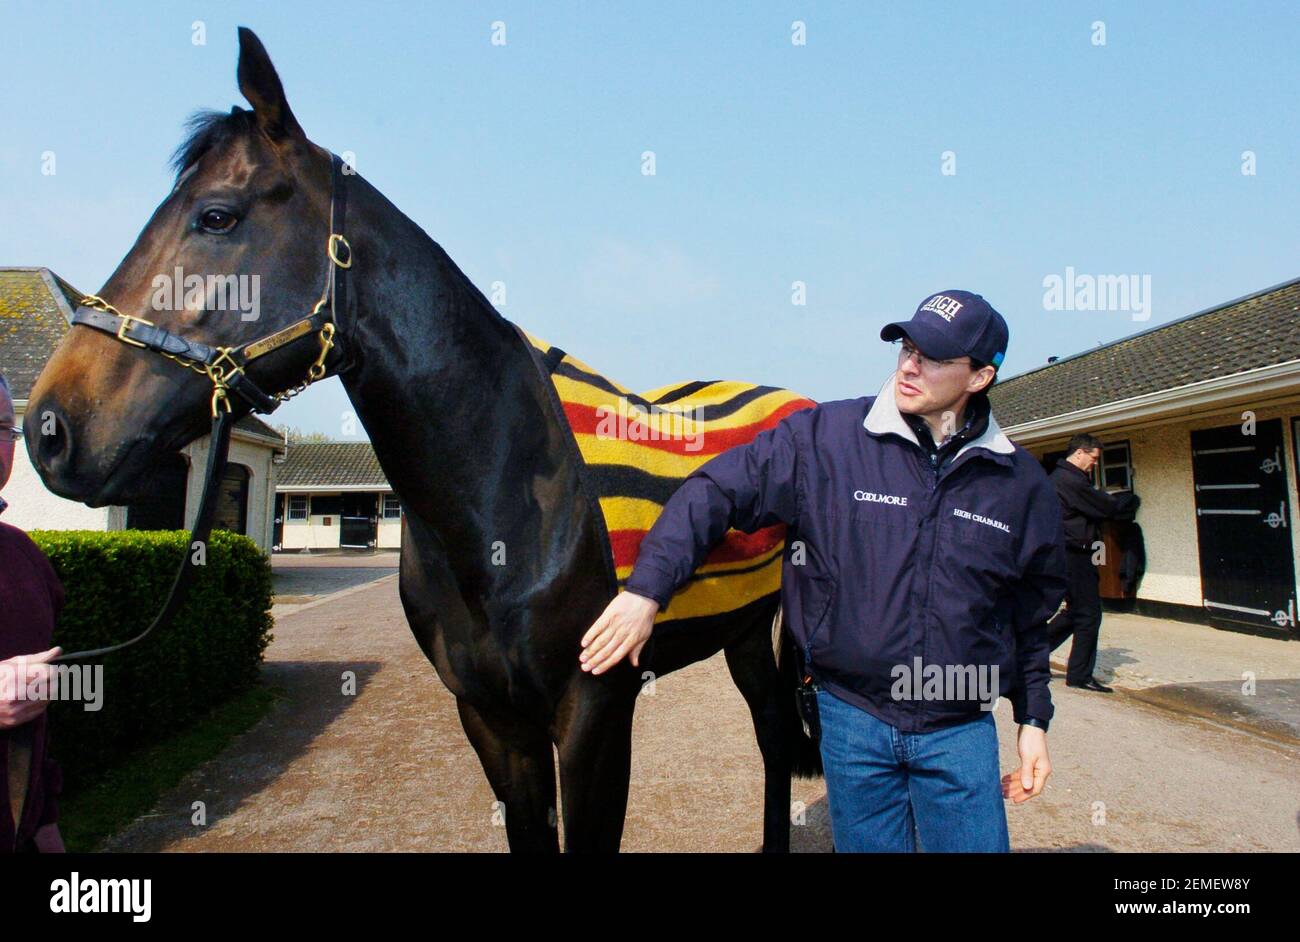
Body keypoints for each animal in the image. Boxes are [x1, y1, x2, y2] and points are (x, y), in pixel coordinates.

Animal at [25, 29, 816, 852]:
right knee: (770, 738)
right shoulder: (493, 722)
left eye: (216, 216)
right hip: (743, 633)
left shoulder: (595, 715)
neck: (507, 491)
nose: (51, 426)